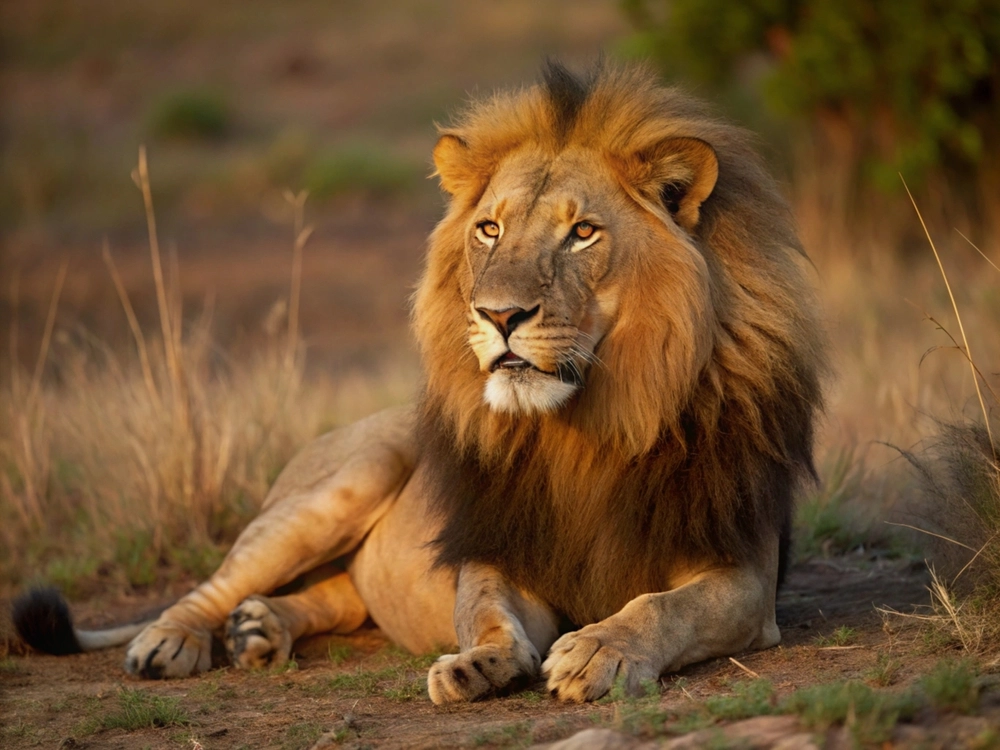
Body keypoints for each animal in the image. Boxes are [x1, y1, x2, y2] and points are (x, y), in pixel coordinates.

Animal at [13, 61, 825, 703]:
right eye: (490, 229)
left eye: (582, 233)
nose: (499, 315)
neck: (591, 425)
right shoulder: (504, 550)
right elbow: (486, 610)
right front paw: (479, 663)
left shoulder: (745, 576)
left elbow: (664, 606)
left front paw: (599, 648)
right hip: (348, 477)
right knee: (212, 585)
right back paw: (173, 641)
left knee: (335, 597)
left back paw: (261, 629)